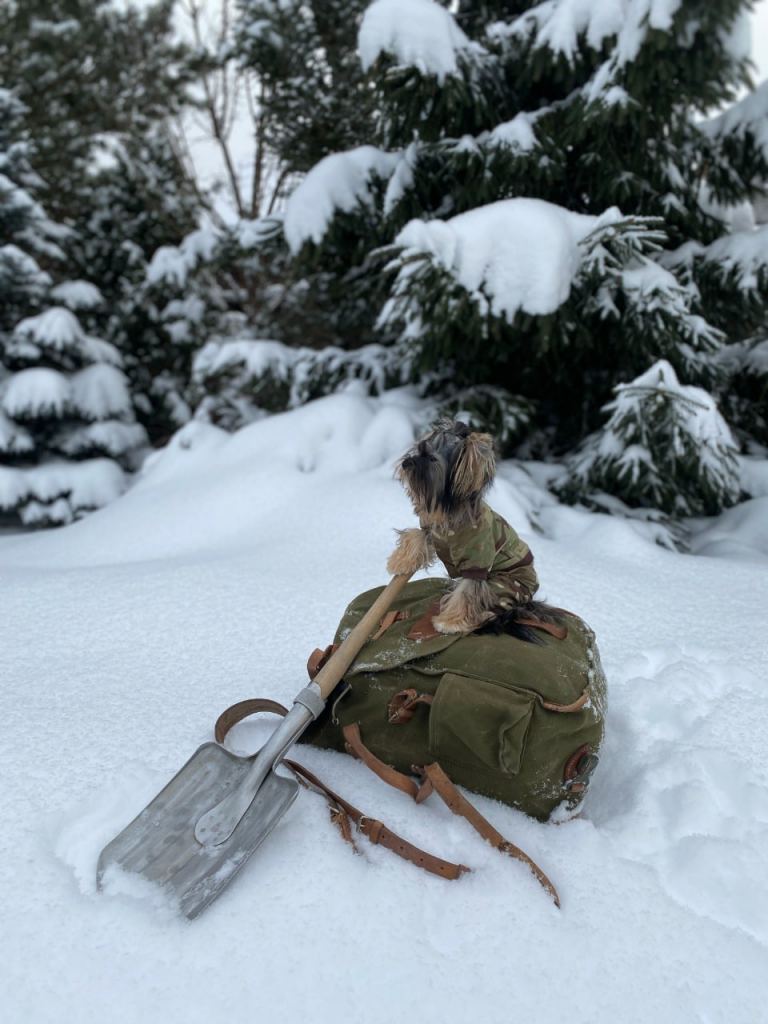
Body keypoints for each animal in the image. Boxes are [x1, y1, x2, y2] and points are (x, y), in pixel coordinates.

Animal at [387, 417, 544, 630]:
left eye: (432, 459)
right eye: (419, 450)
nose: (405, 463)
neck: (449, 516)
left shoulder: (477, 560)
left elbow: (467, 591)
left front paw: (449, 622)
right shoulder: (433, 531)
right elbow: (417, 536)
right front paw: (400, 561)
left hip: (505, 585)